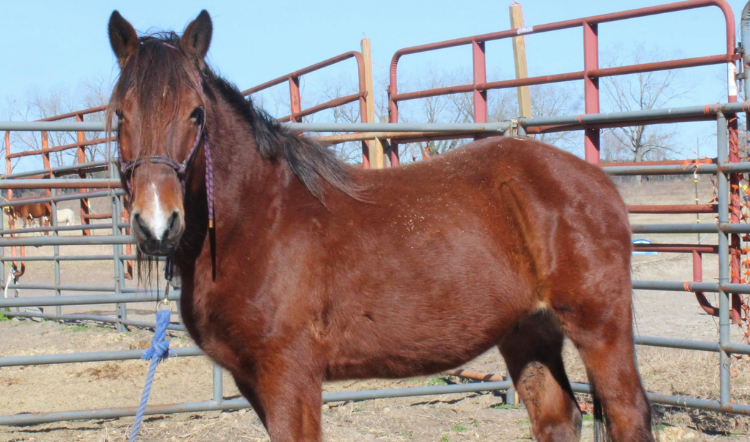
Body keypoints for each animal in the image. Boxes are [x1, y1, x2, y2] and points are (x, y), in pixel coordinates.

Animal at [108, 11, 656, 442]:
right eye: (118, 116)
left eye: (195, 113)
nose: (157, 225)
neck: (260, 218)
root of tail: (598, 182)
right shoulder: (253, 380)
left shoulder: (289, 376)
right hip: (529, 330)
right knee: (556, 419)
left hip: (599, 327)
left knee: (628, 414)